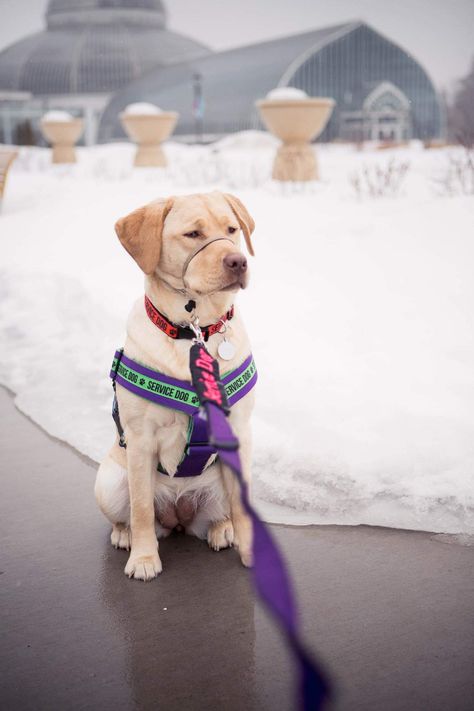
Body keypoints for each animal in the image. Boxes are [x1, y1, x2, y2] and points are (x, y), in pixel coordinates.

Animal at [93, 192, 256, 580]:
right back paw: (125, 535)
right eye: (193, 234)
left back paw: (222, 528)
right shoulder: (140, 440)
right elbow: (140, 510)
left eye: (232, 229)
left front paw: (251, 553)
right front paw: (143, 559)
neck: (195, 332)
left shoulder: (239, 432)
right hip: (110, 481)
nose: (238, 261)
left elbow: (243, 509)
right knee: (134, 514)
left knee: (225, 510)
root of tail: (179, 516)